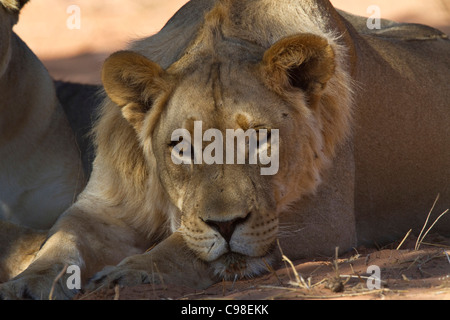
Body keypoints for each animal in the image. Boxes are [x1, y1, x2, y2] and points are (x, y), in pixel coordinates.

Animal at [0, 0, 450, 300]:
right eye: (182, 148)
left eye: (260, 139)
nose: (227, 225)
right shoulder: (103, 208)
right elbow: (62, 239)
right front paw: (25, 283)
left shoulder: (325, 217)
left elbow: (183, 241)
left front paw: (132, 273)